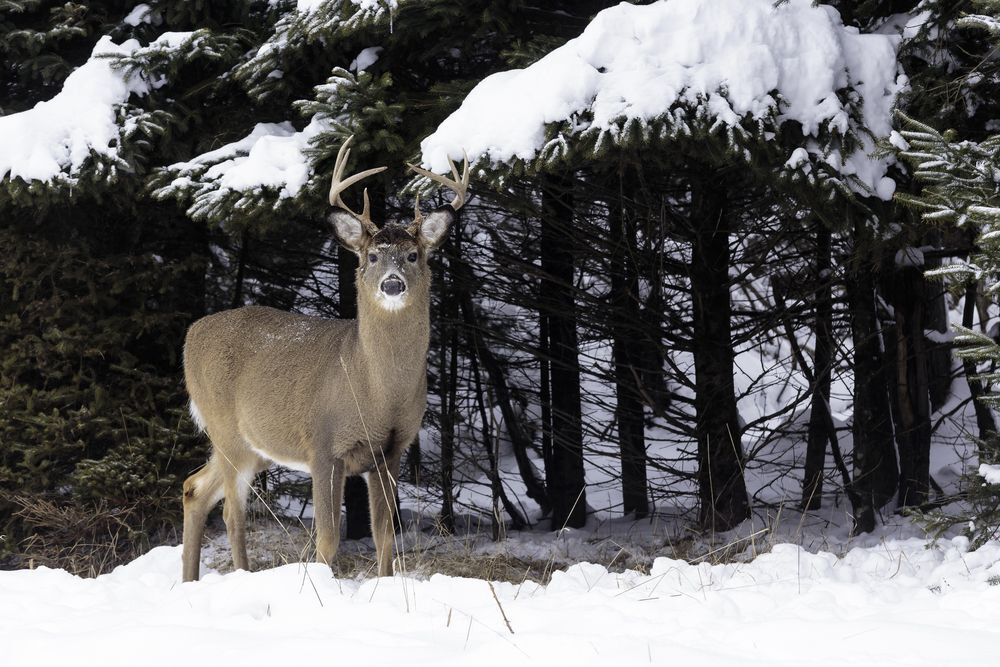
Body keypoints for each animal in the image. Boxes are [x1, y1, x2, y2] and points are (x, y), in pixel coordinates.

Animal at [180, 136, 469, 582]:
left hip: (253, 445)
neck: (376, 391)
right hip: (226, 428)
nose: (392, 284)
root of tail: (191, 335)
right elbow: (328, 538)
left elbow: (385, 535)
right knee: (231, 512)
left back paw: (188, 582)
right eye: (371, 257)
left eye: (413, 256)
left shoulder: (391, 451)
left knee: (194, 488)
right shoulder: (322, 445)